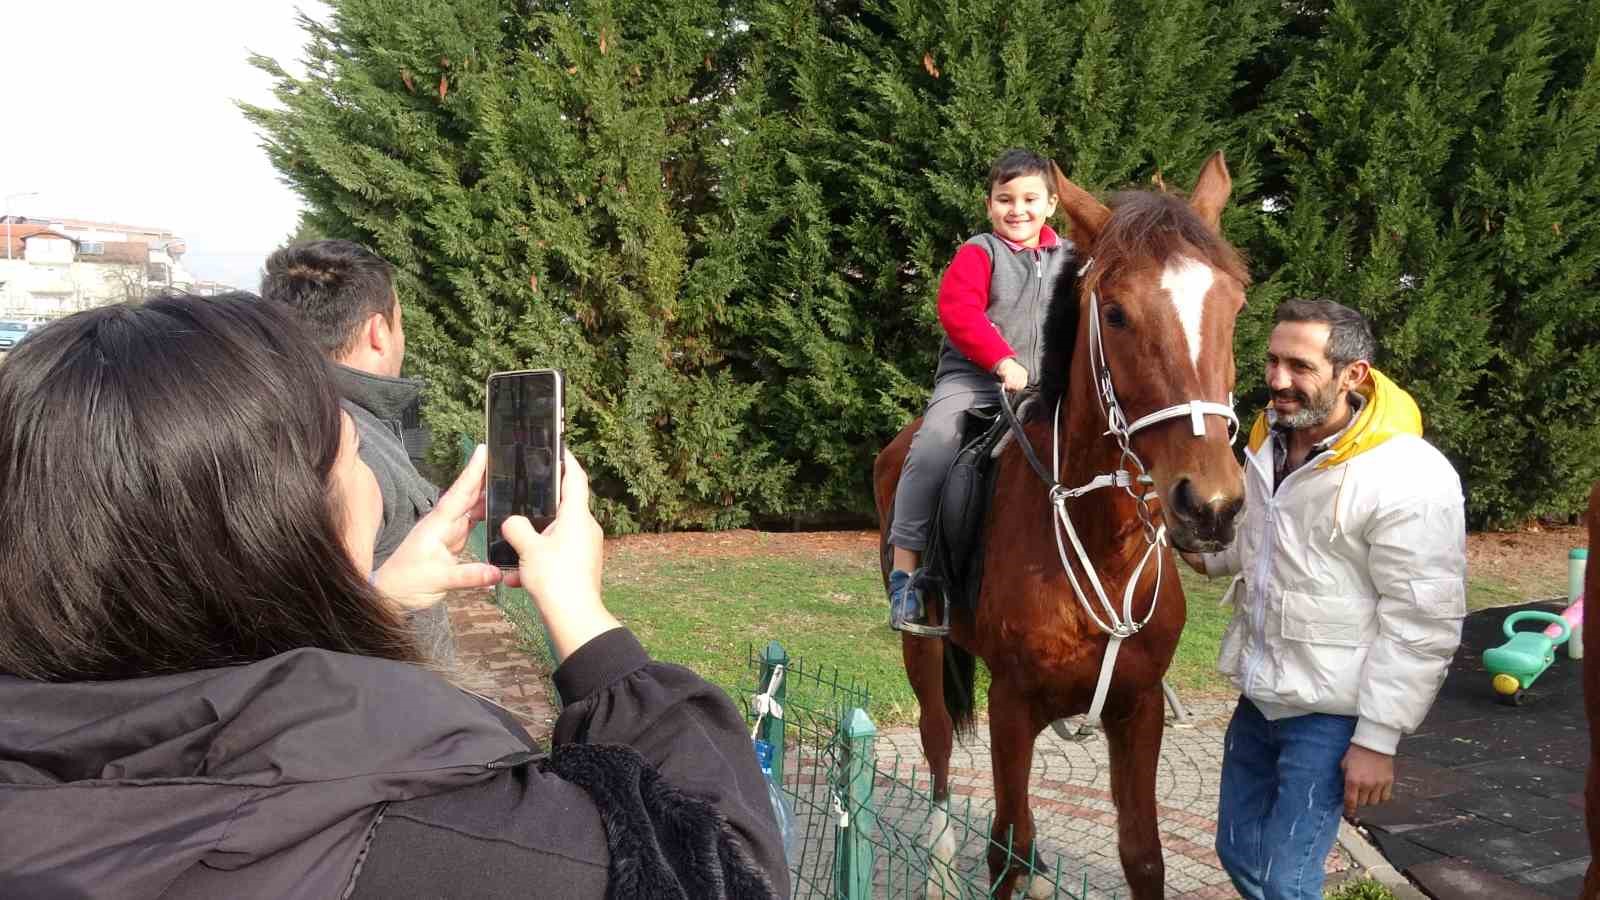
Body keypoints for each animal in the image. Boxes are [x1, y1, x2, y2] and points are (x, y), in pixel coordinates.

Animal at [876, 150, 1248, 890]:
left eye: (1233, 307)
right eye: (1118, 313)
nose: (1211, 505)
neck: (1104, 542)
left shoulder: (1138, 709)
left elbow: (1142, 855)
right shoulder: (1011, 706)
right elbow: (1005, 848)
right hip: (923, 647)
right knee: (937, 746)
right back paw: (937, 865)